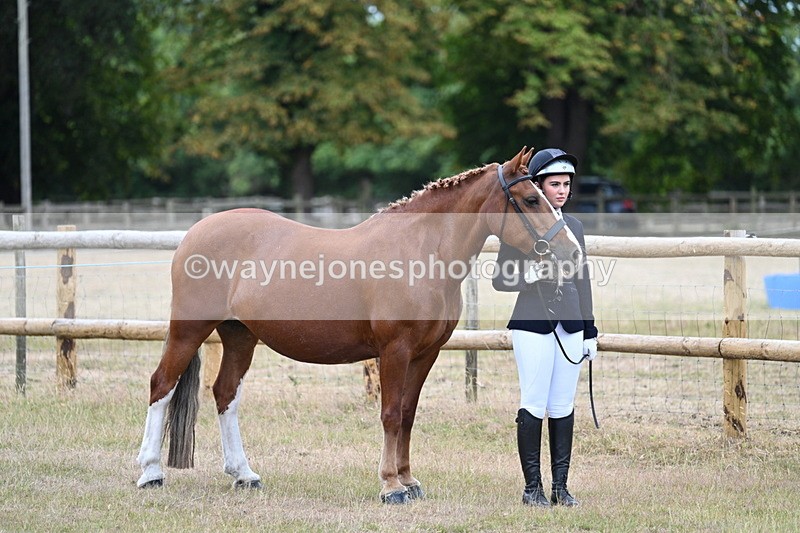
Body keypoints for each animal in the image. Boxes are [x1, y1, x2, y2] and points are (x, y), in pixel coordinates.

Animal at [136, 147, 583, 504]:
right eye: (530, 198)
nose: (572, 253)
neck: (422, 251)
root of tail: (197, 230)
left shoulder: (426, 354)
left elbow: (407, 415)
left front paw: (409, 481)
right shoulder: (395, 350)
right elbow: (390, 414)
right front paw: (391, 487)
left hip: (240, 335)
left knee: (225, 393)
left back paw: (244, 475)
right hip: (189, 329)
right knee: (162, 385)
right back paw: (151, 472)